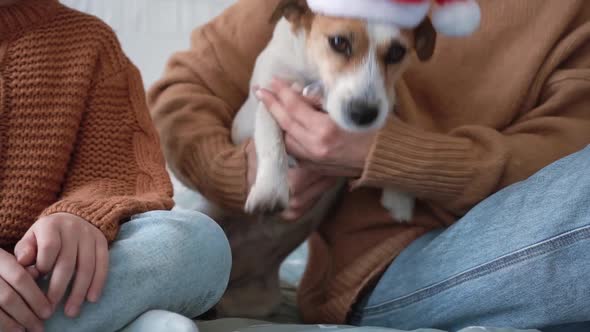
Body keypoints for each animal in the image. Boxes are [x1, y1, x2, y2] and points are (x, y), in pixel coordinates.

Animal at [215, 0, 438, 320]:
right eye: (338, 42)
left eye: (397, 52)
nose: (362, 114)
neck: (314, 73)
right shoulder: (268, 96)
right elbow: (270, 134)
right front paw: (271, 189)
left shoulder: (386, 98)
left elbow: (395, 117)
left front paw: (400, 196)